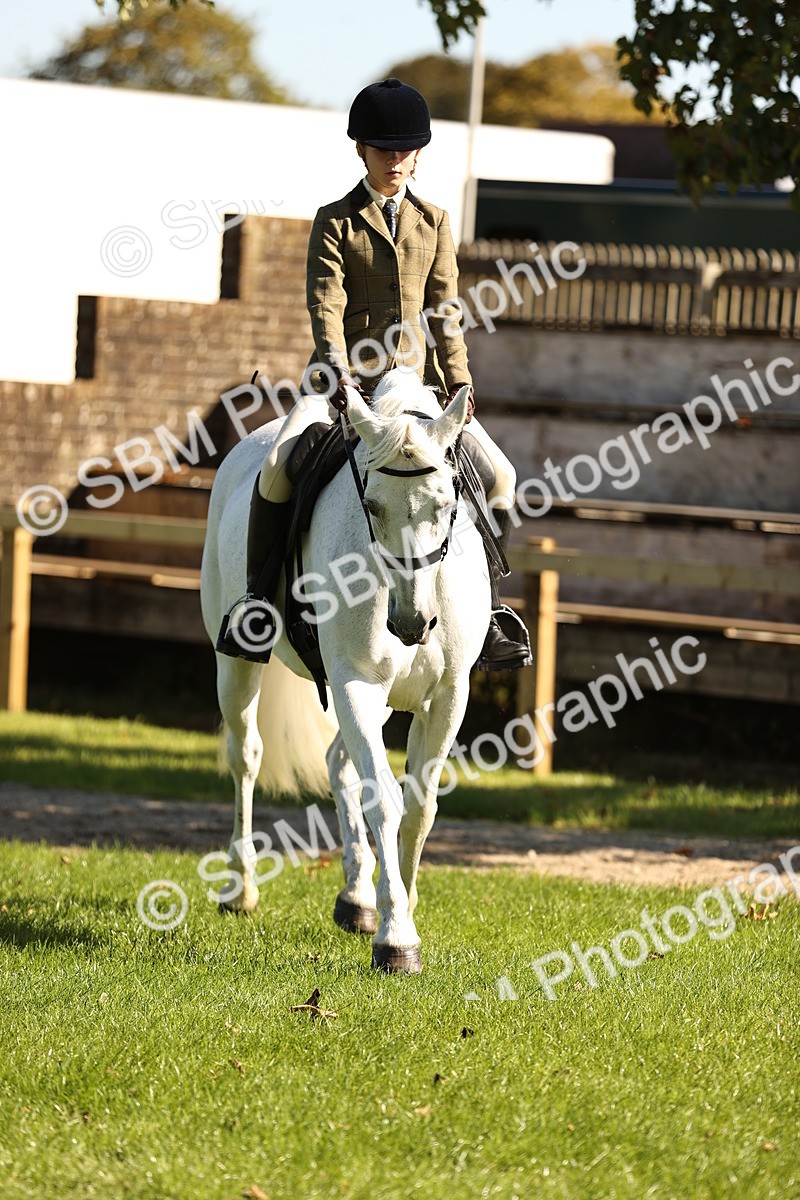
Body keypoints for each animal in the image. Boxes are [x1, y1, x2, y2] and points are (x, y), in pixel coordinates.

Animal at [199, 370, 490, 973]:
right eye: (372, 506)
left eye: (445, 501)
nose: (412, 622)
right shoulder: (357, 683)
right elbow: (385, 797)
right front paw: (397, 936)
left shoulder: (449, 697)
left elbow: (420, 805)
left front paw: (402, 900)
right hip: (236, 664)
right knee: (247, 756)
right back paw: (241, 888)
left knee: (338, 763)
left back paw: (357, 896)